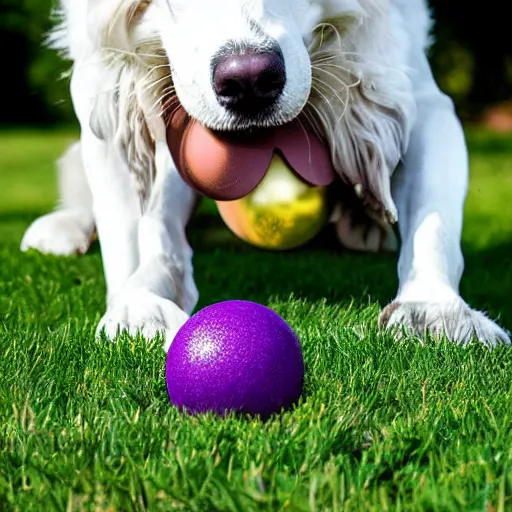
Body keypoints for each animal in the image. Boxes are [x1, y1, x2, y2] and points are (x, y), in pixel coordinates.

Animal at [21, 0, 512, 348]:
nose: (249, 81)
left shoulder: (415, 93)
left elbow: (434, 225)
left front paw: (435, 308)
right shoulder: (117, 93)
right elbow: (140, 231)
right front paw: (141, 301)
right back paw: (63, 228)